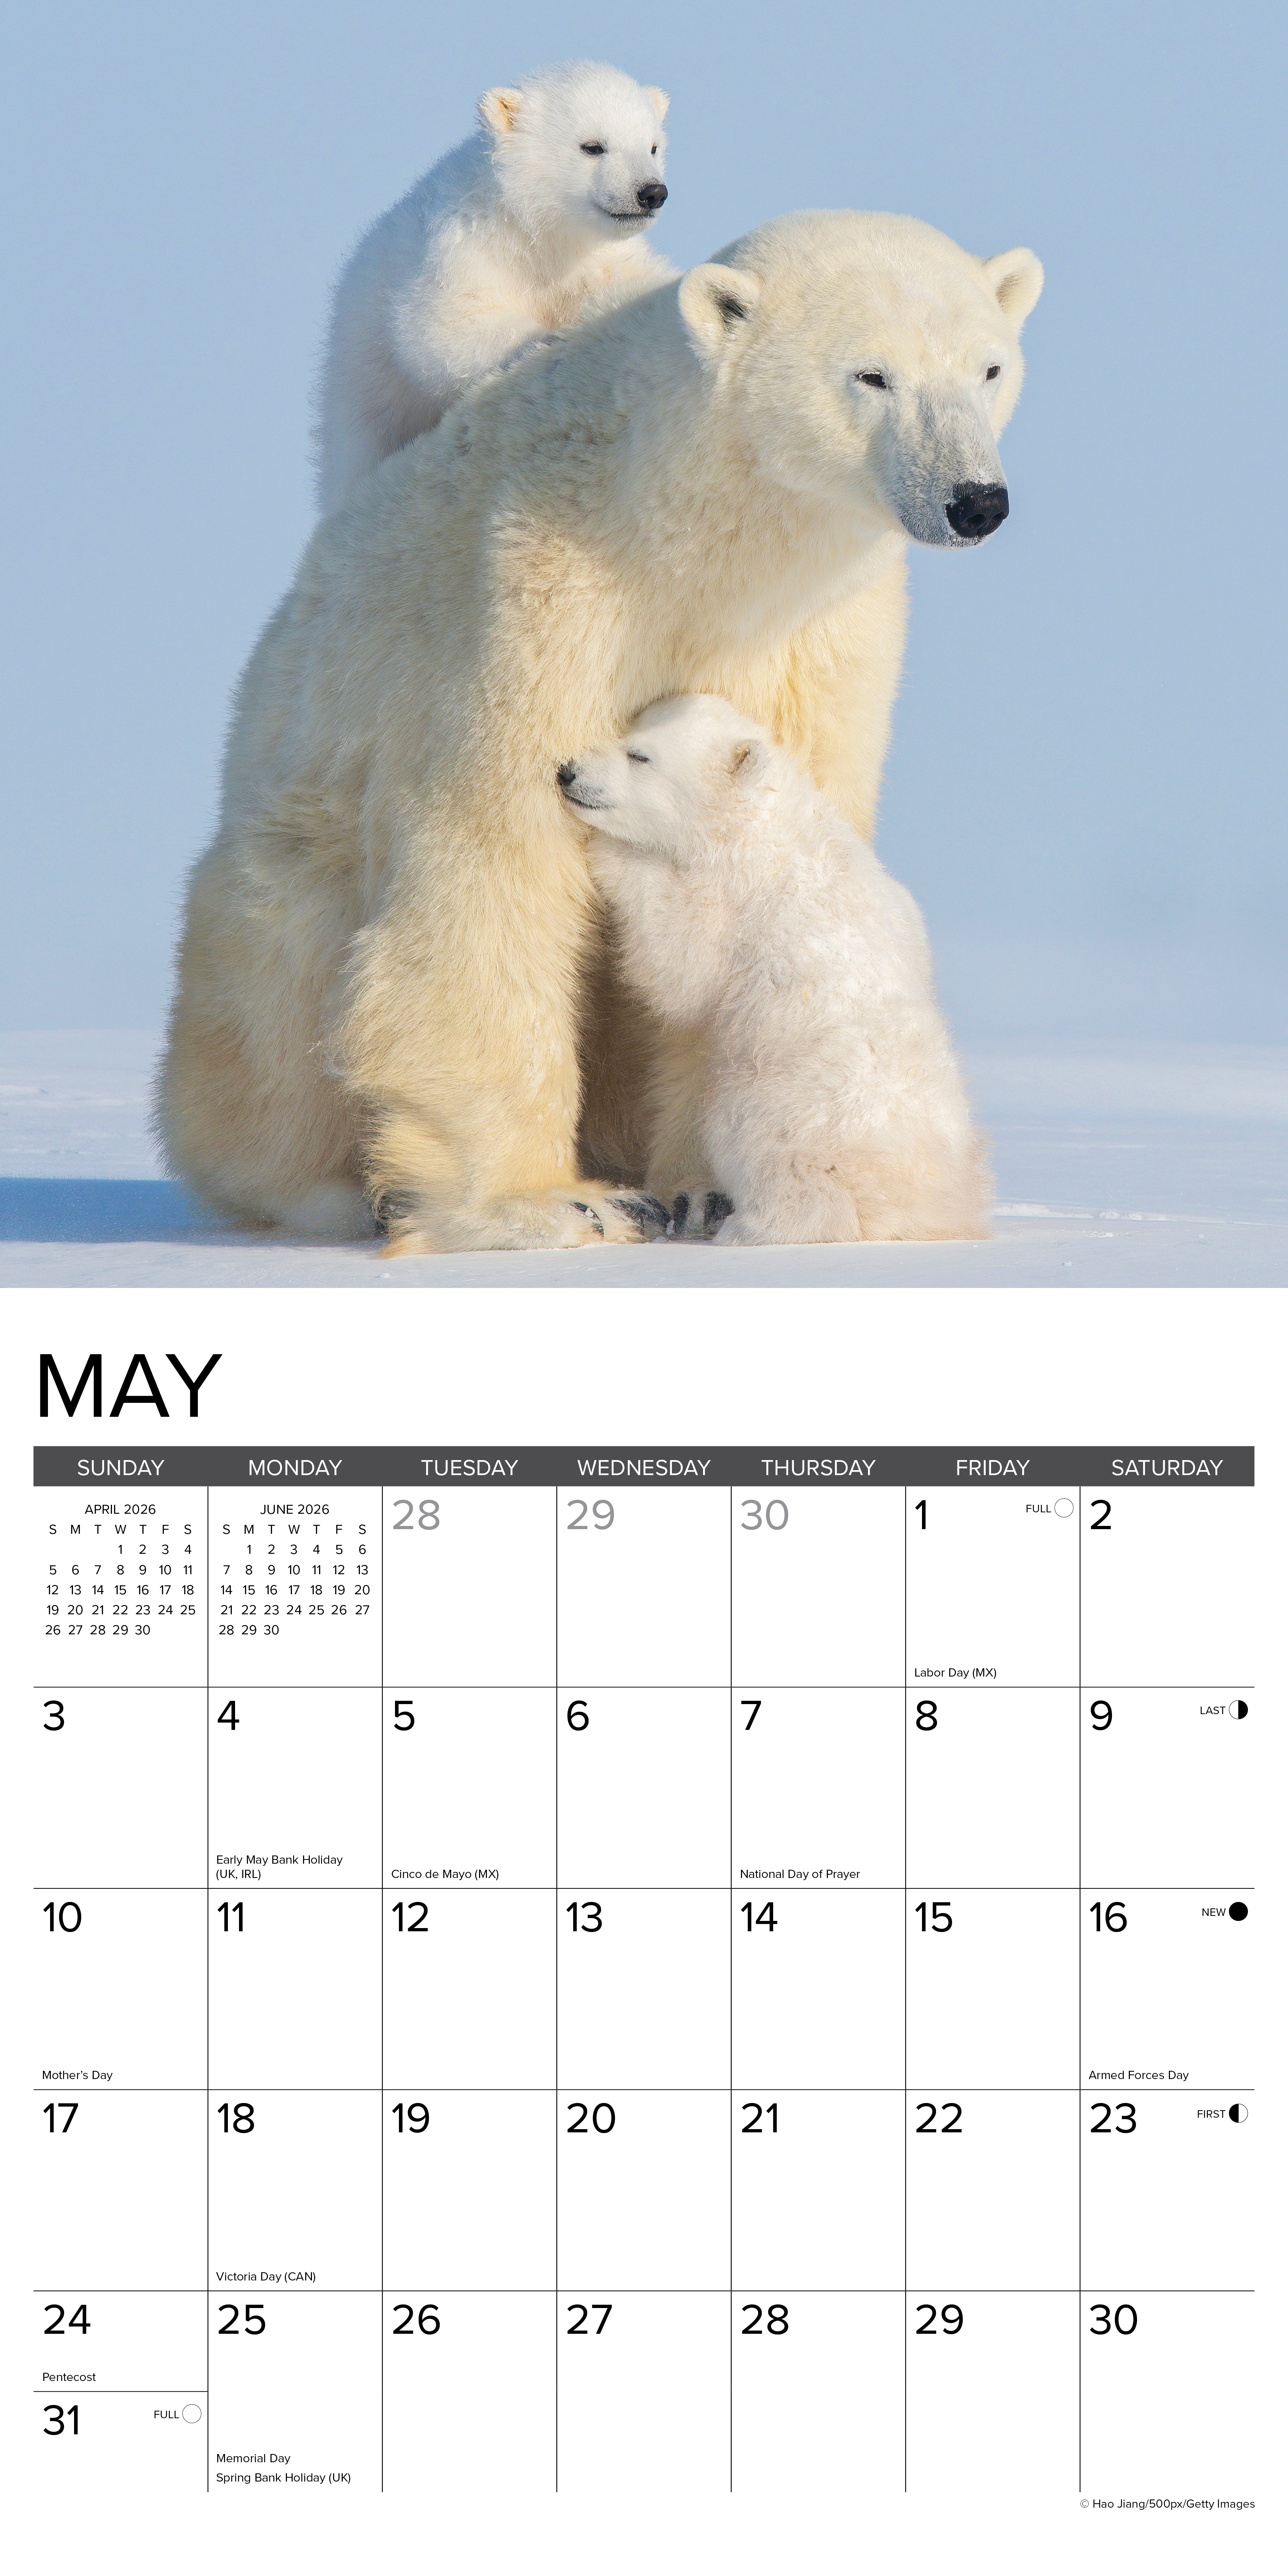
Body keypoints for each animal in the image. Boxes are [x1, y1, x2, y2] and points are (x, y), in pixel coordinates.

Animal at [315, 60, 672, 515]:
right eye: (593, 147)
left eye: (653, 147)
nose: (652, 192)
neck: (536, 232)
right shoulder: (465, 246)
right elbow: (439, 326)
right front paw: (545, 338)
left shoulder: (600, 260)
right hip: (361, 396)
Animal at [561, 694, 990, 1245]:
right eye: (626, 732)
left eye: (640, 756)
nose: (569, 773)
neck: (767, 821)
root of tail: (904, 1208)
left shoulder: (736, 899)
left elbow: (679, 963)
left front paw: (610, 853)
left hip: (785, 1106)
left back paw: (746, 1227)